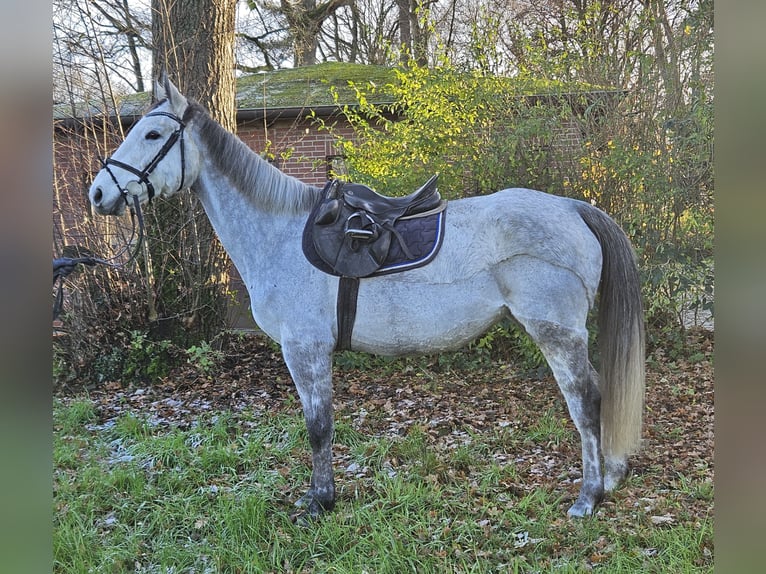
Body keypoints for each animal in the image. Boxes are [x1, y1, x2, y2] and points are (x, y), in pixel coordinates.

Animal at [90, 77, 644, 520]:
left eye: (152, 135)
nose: (98, 193)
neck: (280, 234)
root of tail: (572, 207)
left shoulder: (305, 348)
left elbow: (318, 426)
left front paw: (320, 502)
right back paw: (609, 478)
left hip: (556, 332)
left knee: (586, 400)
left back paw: (588, 497)